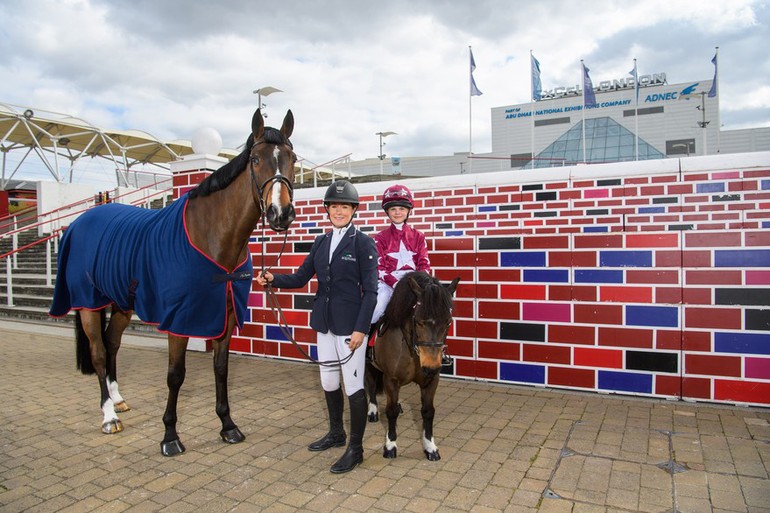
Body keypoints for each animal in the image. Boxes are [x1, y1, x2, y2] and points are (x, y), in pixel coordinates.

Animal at [48, 108, 294, 456]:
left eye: (292, 158)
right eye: (257, 159)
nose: (281, 214)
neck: (210, 237)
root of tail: (81, 220)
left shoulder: (225, 315)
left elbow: (221, 369)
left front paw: (228, 425)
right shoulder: (180, 319)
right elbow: (176, 375)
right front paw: (170, 436)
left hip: (122, 303)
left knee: (112, 344)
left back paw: (118, 400)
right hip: (87, 303)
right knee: (98, 352)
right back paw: (109, 416)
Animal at [364, 272, 460, 460]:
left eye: (448, 322)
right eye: (419, 321)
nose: (430, 366)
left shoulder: (431, 380)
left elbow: (428, 411)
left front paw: (430, 447)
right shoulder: (391, 379)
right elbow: (391, 411)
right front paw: (390, 445)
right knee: (370, 383)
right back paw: (372, 411)